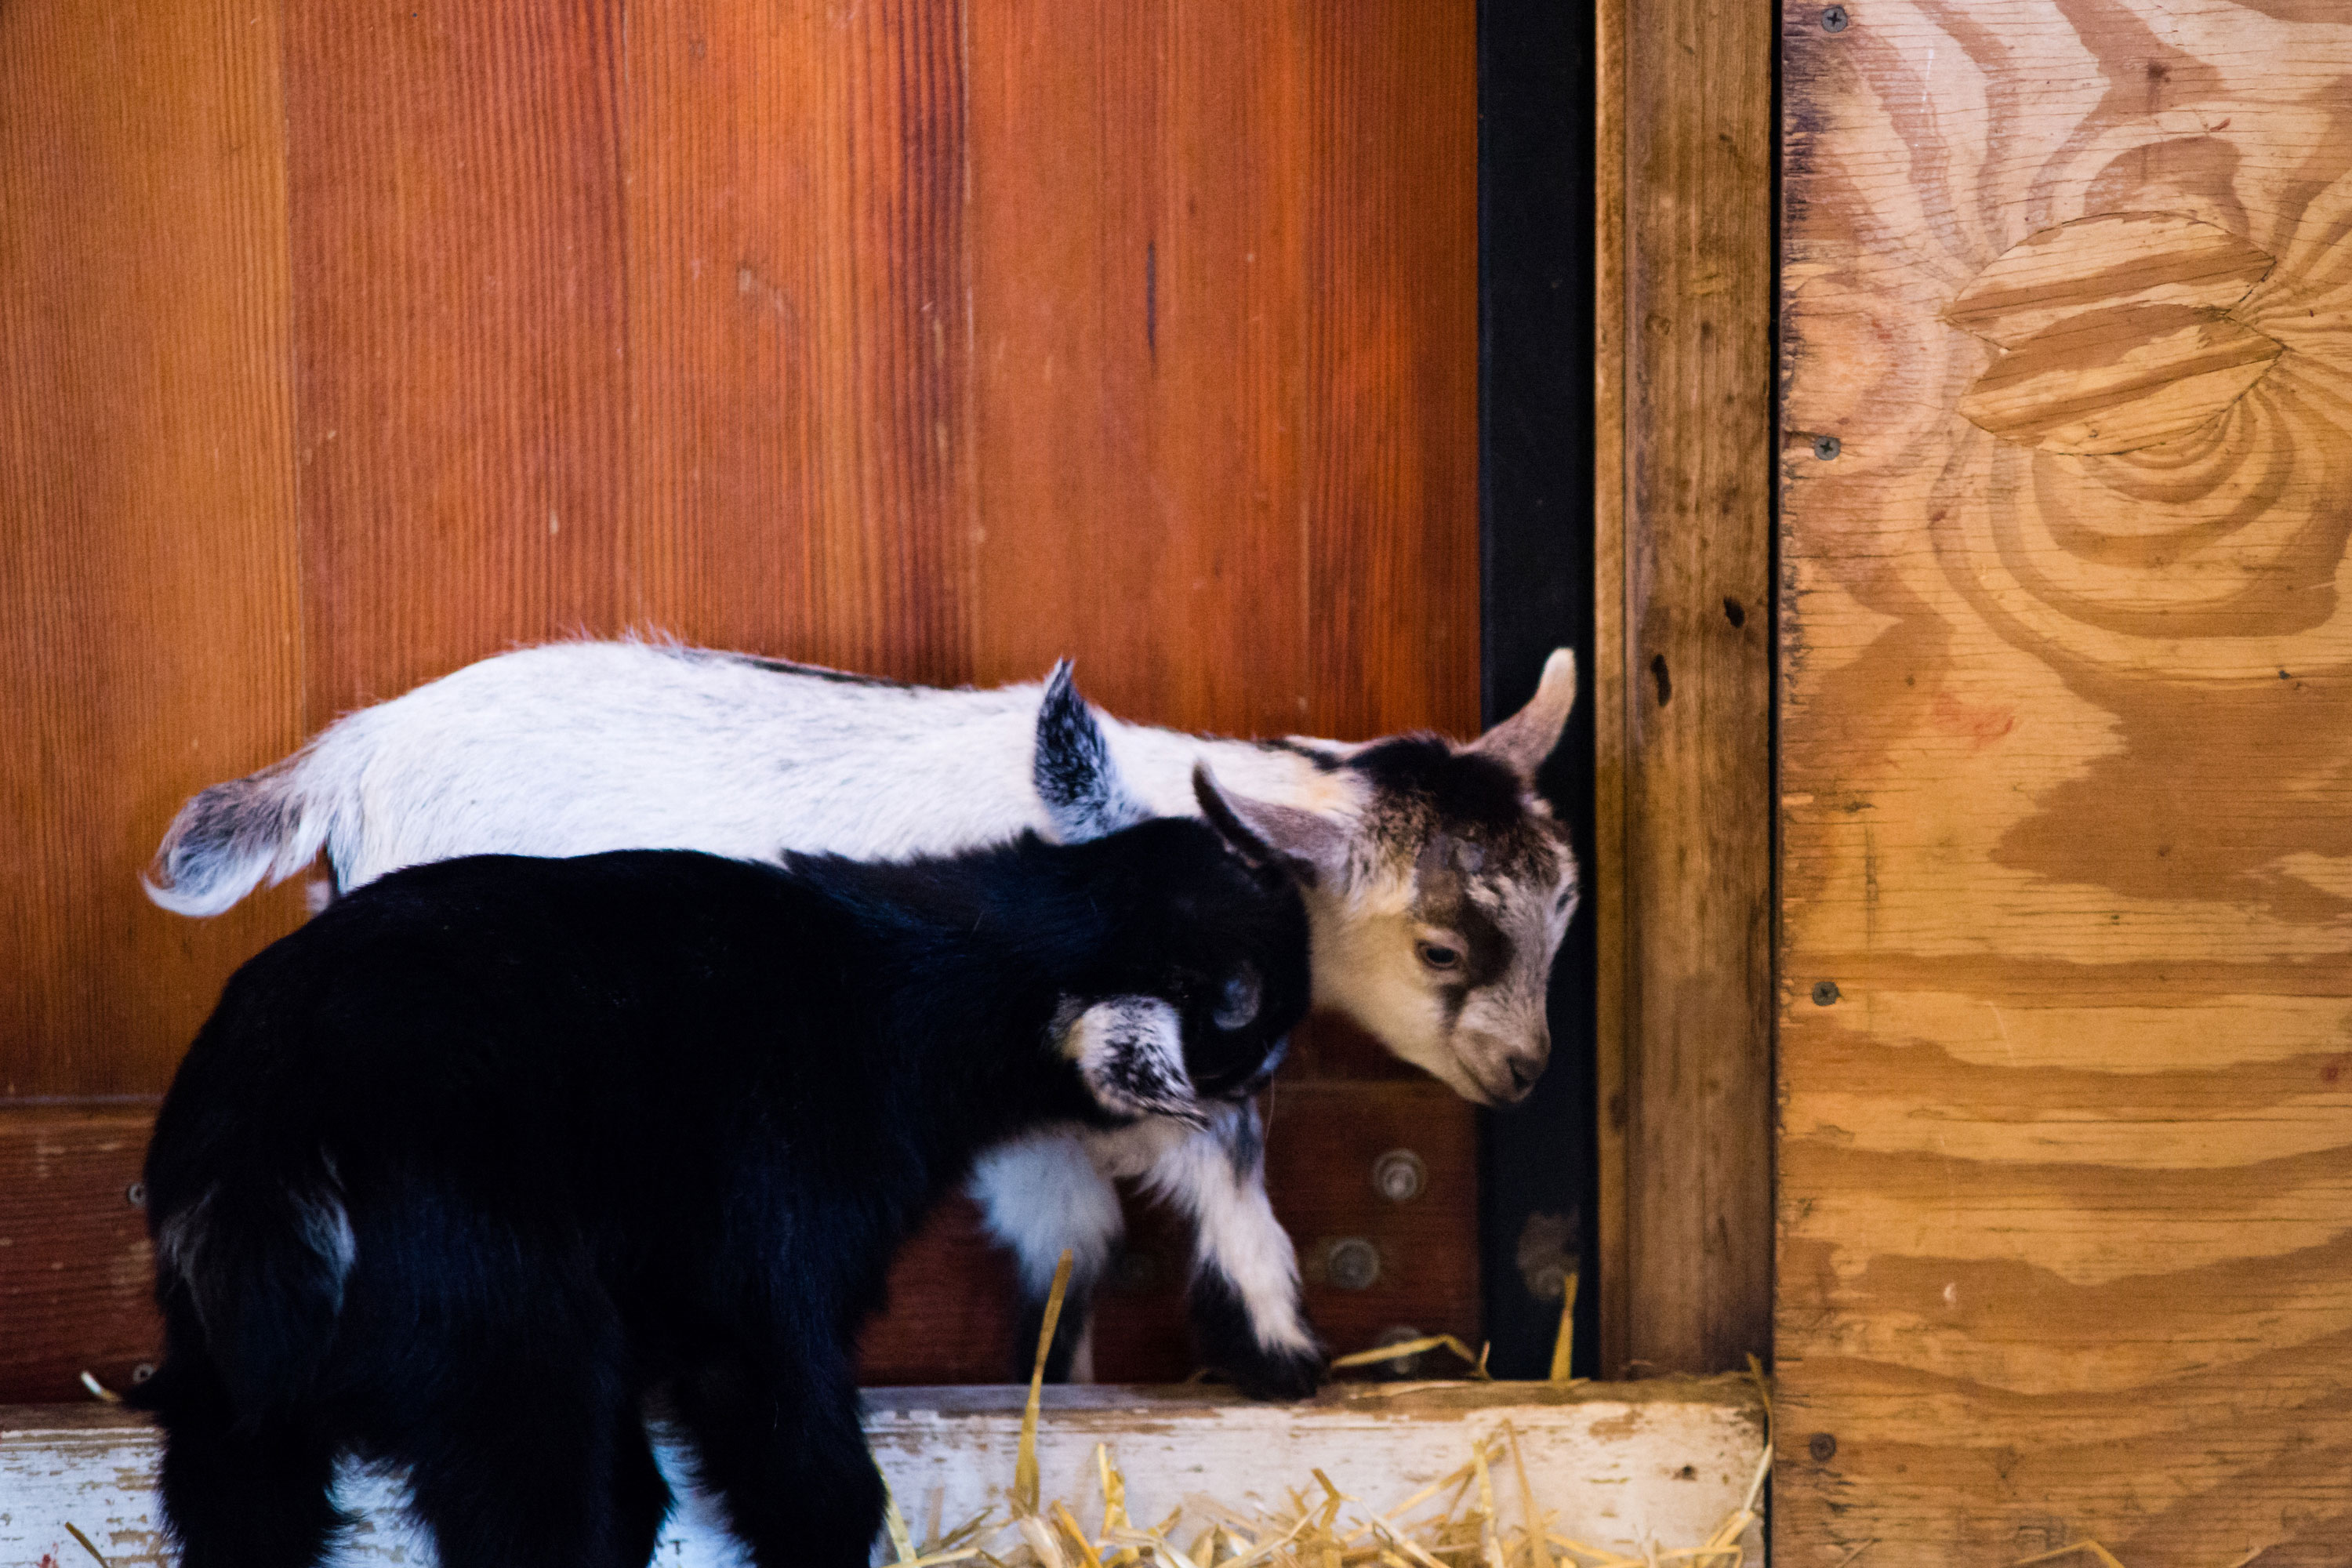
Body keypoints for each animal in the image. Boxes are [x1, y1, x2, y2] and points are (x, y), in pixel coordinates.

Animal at [137, 771, 1317, 1568]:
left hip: (221, 1370)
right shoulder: (772, 1263)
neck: (918, 980)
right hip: (496, 1324)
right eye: (1245, 1027)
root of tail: (279, 1110)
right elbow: (809, 1468)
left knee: (239, 1493)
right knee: (532, 1507)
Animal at [147, 639, 1581, 1373]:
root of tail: (344, 762)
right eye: (1443, 946)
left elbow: (1082, 1257)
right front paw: (1275, 1348)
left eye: (1564, 910)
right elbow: (1180, 1195)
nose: (1527, 1073)